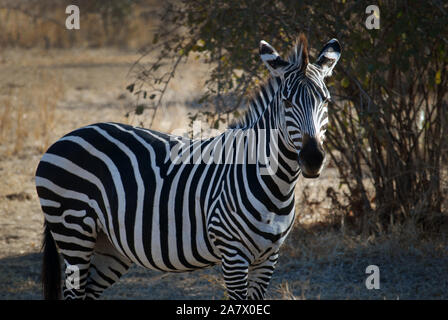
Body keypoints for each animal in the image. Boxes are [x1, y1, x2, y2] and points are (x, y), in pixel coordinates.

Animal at [36, 35, 342, 300]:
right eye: (286, 102)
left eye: (326, 101)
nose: (312, 158)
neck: (275, 184)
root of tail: (64, 138)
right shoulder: (233, 254)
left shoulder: (269, 257)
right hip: (73, 232)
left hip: (108, 246)